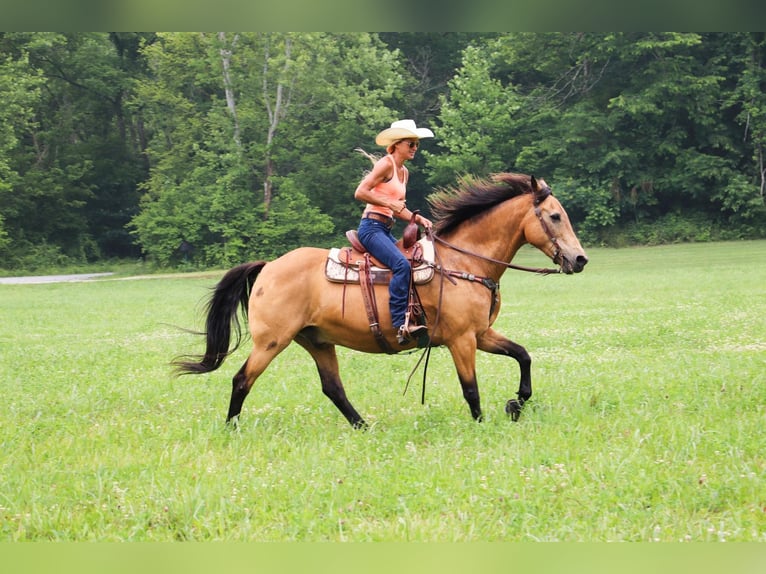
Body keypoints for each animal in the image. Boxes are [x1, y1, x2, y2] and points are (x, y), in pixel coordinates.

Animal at [176, 173, 588, 430]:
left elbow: (523, 356)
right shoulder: (461, 340)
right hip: (271, 341)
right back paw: (231, 428)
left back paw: (364, 427)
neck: (464, 263)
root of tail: (268, 267)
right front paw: (483, 423)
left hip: (317, 341)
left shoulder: (481, 334)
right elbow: (470, 388)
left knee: (333, 388)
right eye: (555, 216)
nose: (580, 259)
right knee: (242, 380)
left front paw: (516, 404)